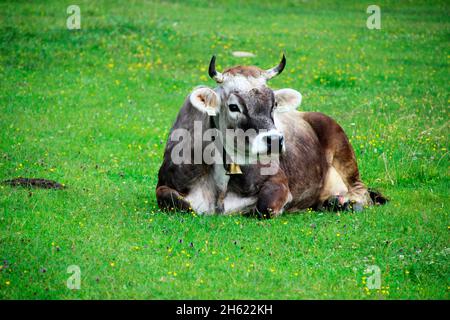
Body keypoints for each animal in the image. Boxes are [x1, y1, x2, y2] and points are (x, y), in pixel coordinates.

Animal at [156, 56, 386, 219]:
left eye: (274, 104)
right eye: (233, 106)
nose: (275, 140)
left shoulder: (278, 181)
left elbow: (264, 206)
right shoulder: (165, 183)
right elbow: (173, 200)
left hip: (342, 148)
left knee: (361, 190)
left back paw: (345, 202)